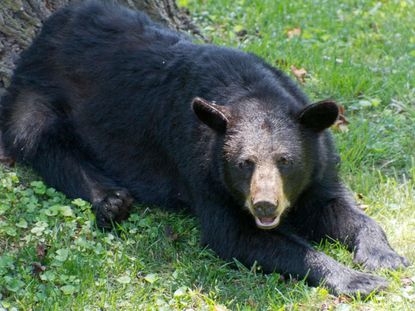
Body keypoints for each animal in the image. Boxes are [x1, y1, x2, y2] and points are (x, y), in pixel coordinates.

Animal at [0, 0, 410, 298]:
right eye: (244, 163)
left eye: (286, 160)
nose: (265, 206)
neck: (251, 92)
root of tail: (44, 32)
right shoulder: (201, 167)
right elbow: (233, 234)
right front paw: (356, 279)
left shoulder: (319, 160)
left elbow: (339, 207)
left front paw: (385, 257)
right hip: (36, 91)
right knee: (40, 139)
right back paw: (110, 199)